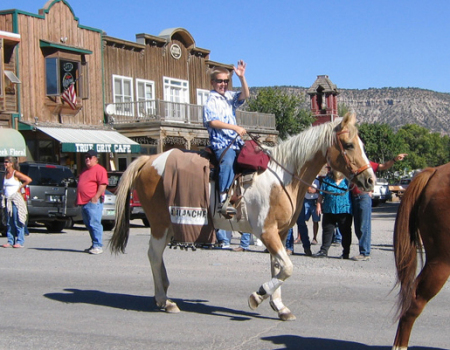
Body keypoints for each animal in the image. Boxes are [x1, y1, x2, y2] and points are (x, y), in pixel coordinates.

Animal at [110, 112, 374, 320]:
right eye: (349, 145)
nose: (370, 180)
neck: (282, 177)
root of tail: (148, 160)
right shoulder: (266, 232)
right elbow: (287, 268)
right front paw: (258, 295)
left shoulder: (280, 233)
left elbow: (278, 267)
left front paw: (279, 306)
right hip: (160, 223)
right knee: (154, 254)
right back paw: (165, 300)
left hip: (168, 225)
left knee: (157, 255)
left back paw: (163, 295)